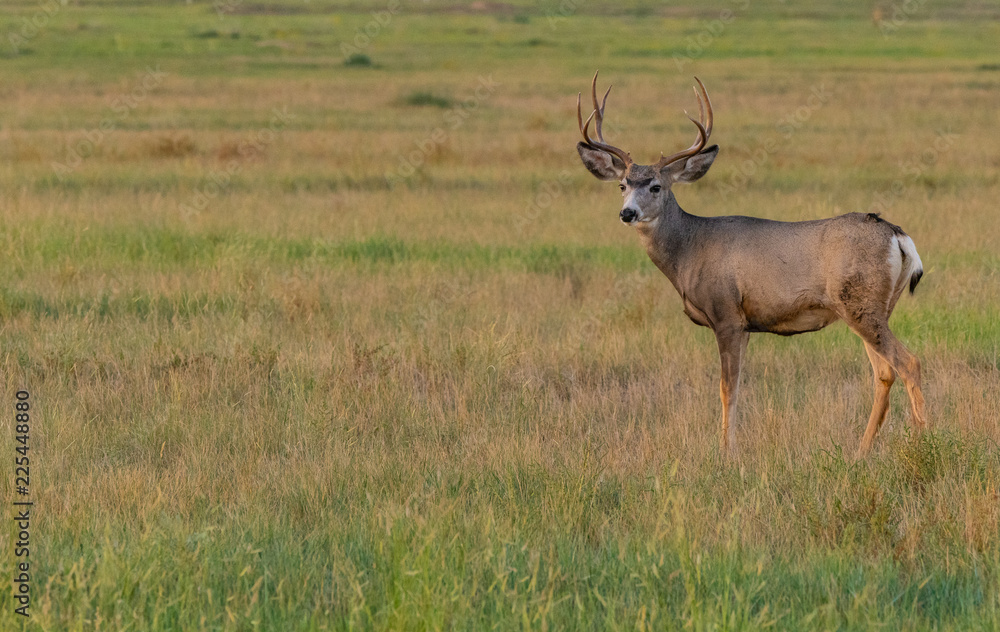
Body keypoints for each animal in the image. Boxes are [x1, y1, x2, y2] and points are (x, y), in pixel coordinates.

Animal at [575, 72, 926, 457]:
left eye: (655, 186)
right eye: (622, 185)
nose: (627, 213)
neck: (689, 250)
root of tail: (897, 235)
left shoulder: (726, 314)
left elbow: (726, 389)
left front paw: (726, 452)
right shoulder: (744, 324)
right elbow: (737, 387)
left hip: (861, 305)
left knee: (909, 363)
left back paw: (924, 440)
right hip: (871, 308)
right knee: (884, 373)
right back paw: (861, 451)